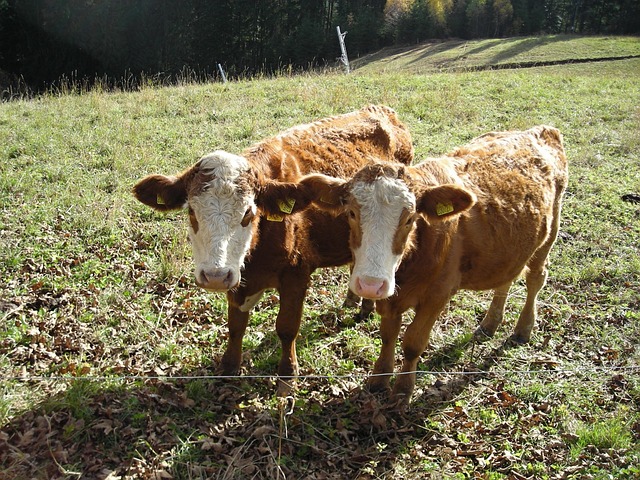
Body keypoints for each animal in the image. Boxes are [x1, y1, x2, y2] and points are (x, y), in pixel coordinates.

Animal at [132, 105, 414, 394]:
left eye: (248, 212)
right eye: (191, 211)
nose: (215, 277)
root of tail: (380, 109)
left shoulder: (296, 275)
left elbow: (287, 327)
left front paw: (287, 375)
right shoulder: (238, 278)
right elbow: (236, 324)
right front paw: (229, 366)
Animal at [265, 125, 568, 404]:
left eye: (410, 218)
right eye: (350, 213)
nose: (370, 285)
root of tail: (541, 130)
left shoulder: (438, 295)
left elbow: (413, 342)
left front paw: (402, 390)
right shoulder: (390, 297)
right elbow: (388, 335)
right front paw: (379, 379)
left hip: (547, 238)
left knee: (535, 279)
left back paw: (523, 328)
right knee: (506, 280)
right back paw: (490, 323)